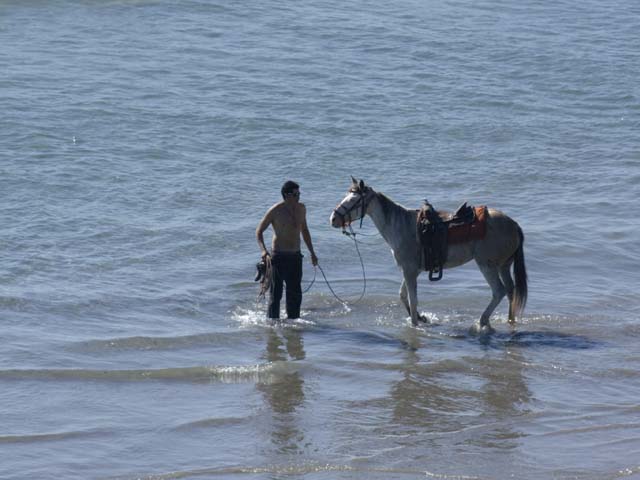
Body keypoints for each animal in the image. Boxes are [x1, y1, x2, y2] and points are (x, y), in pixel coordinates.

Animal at [330, 178, 527, 331]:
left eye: (354, 201)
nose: (333, 219)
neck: (400, 226)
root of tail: (514, 225)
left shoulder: (409, 270)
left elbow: (412, 299)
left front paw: (415, 324)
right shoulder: (413, 270)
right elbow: (403, 295)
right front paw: (421, 317)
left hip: (486, 265)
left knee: (499, 291)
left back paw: (482, 321)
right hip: (503, 265)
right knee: (511, 291)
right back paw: (509, 321)